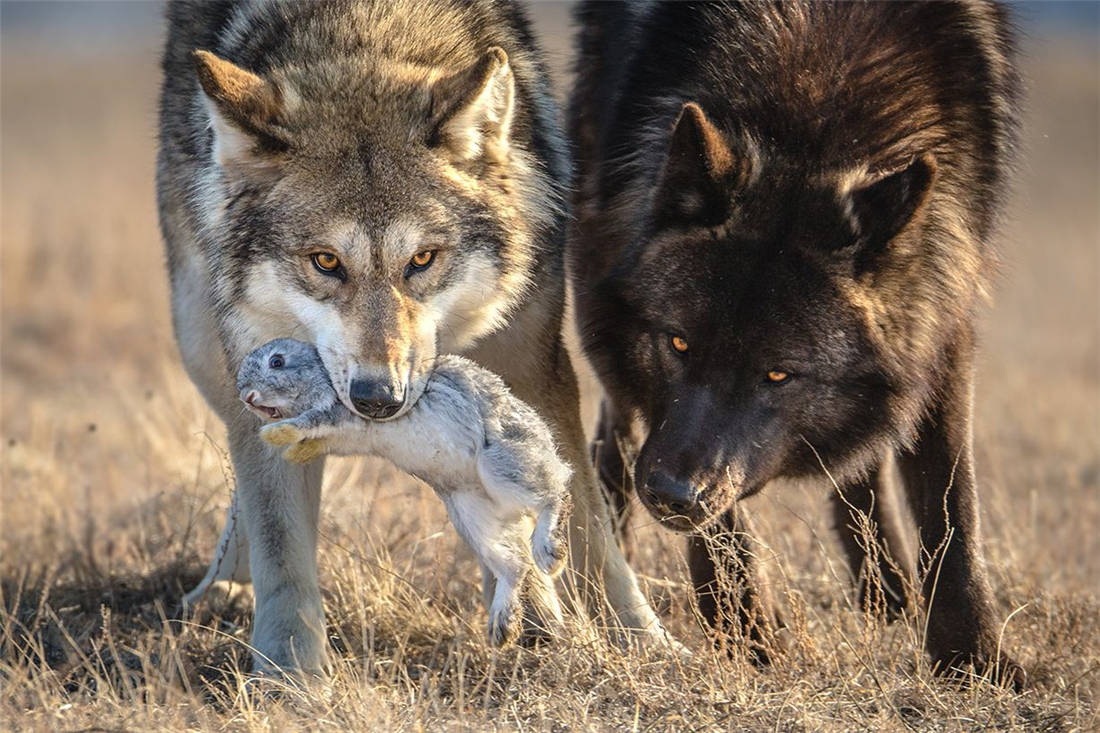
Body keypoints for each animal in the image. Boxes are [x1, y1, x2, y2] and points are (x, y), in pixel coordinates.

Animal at [567, 1, 1020, 686]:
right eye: (678, 343)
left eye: (778, 375)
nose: (669, 496)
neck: (814, 100)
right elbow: (722, 523)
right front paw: (748, 636)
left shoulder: (942, 316)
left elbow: (950, 501)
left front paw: (976, 661)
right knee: (617, 427)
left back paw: (887, 597)